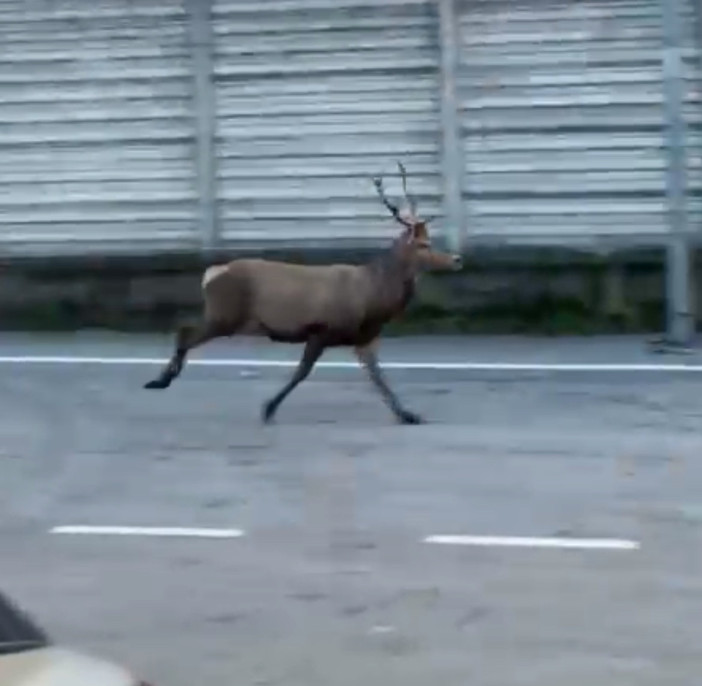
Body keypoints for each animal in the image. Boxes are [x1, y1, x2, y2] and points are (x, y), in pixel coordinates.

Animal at [143, 161, 463, 425]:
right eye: (423, 245)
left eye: (430, 240)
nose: (457, 259)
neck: (372, 302)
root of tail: (210, 274)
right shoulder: (321, 329)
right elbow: (302, 372)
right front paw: (268, 408)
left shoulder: (363, 337)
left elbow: (379, 378)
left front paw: (409, 414)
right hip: (225, 315)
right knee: (185, 332)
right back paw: (160, 381)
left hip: (226, 317)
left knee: (184, 330)